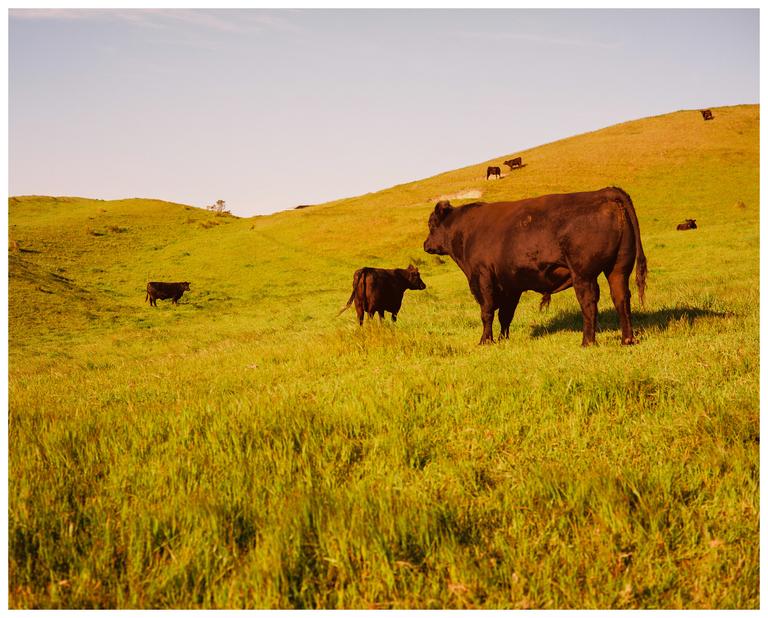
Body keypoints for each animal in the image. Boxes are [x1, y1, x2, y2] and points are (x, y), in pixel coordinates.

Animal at [423, 187, 647, 346]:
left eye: (431, 225)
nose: (426, 245)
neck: (466, 231)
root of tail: (604, 192)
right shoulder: (510, 286)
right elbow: (505, 315)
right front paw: (503, 339)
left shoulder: (482, 278)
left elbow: (487, 312)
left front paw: (485, 341)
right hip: (617, 268)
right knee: (621, 298)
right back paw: (627, 340)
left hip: (584, 275)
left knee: (589, 303)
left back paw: (587, 342)